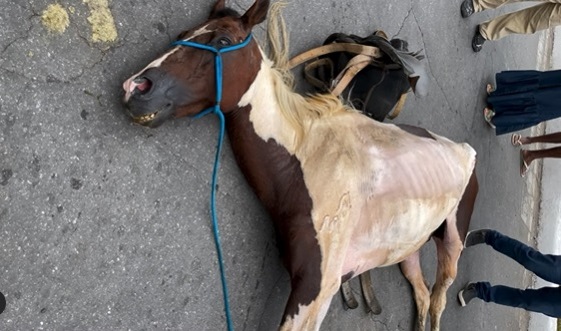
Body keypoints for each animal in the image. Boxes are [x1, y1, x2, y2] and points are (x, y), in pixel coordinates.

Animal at [121, 1, 476, 330]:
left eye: (222, 40)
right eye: (184, 33)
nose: (136, 88)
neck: (307, 160)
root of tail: (467, 149)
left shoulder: (317, 290)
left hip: (453, 244)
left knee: (438, 300)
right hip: (409, 248)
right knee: (422, 292)